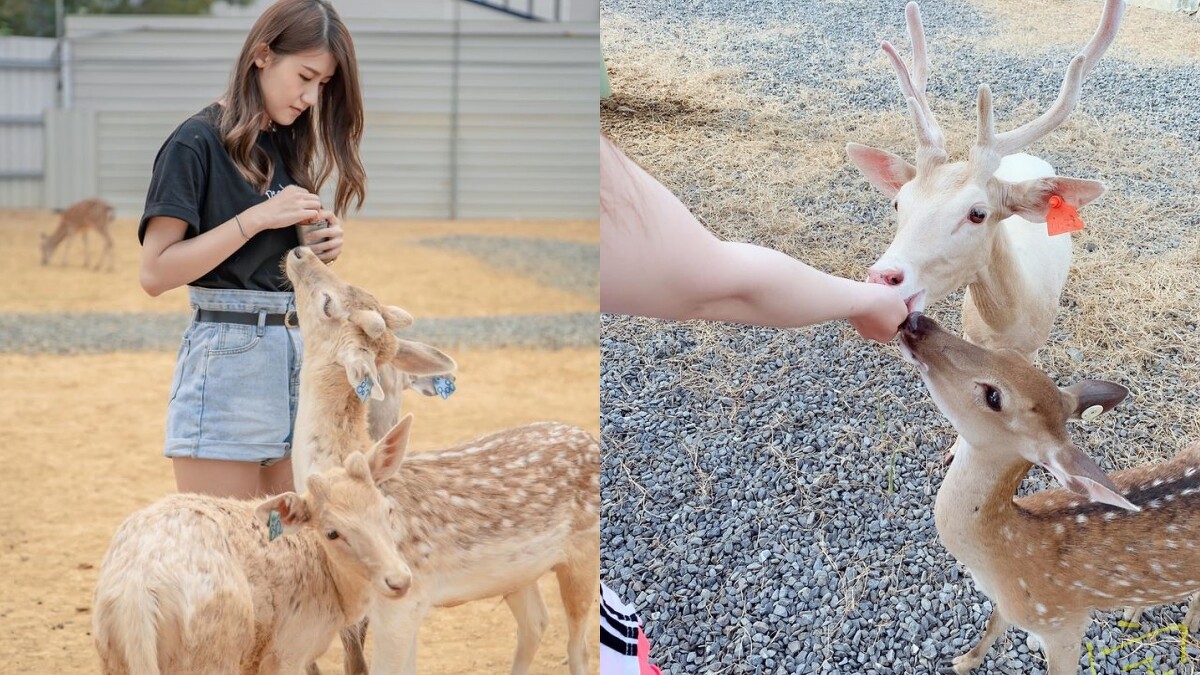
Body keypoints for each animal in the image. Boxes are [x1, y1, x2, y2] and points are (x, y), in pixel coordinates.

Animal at [93, 420, 415, 675]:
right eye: (333, 532)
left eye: (387, 509)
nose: (399, 580)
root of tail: (137, 590)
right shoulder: (287, 654)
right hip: (210, 654)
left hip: (114, 657)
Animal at [285, 246, 600, 675]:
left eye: (327, 304)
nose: (301, 252)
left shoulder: (403, 600)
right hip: (517, 573)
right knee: (536, 621)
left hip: (584, 554)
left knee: (579, 646)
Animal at [898, 311, 1200, 674]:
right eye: (1006, 354)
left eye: (994, 396)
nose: (916, 321)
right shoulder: (1010, 606)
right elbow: (994, 625)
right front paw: (964, 661)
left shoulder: (1063, 622)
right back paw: (1132, 612)